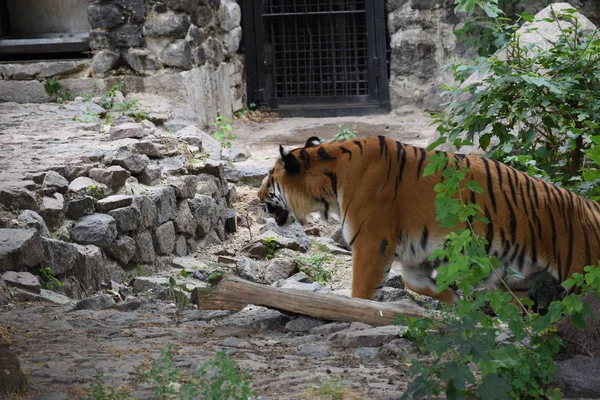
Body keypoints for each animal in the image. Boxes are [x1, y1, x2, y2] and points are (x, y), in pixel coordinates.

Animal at [256, 135, 600, 304]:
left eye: (269, 177)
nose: (257, 198)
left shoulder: (372, 243)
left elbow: (362, 291)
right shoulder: (416, 253)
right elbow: (414, 282)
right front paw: (453, 298)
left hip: (581, 273)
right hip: (522, 279)